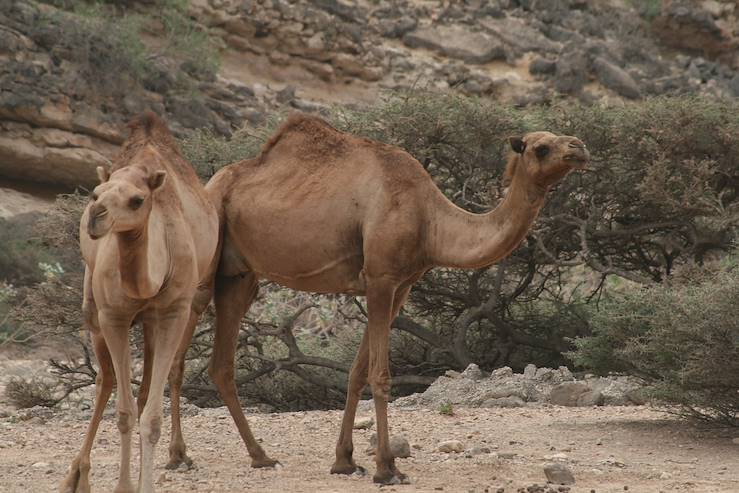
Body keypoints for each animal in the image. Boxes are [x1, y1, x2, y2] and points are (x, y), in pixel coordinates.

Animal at [61, 112, 218, 492]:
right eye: (95, 193)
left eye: (136, 200)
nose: (95, 215)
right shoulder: (114, 316)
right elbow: (124, 412)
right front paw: (123, 486)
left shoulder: (173, 313)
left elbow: (151, 416)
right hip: (93, 309)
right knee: (105, 381)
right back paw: (76, 475)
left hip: (170, 314)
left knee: (150, 386)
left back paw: (177, 453)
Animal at [204, 112, 588, 484]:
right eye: (540, 147)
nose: (579, 146)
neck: (430, 220)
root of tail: (212, 184)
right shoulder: (380, 278)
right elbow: (380, 374)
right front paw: (386, 468)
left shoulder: (403, 285)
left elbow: (357, 372)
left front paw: (345, 461)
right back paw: (215, 457)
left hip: (241, 278)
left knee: (220, 365)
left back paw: (259, 456)